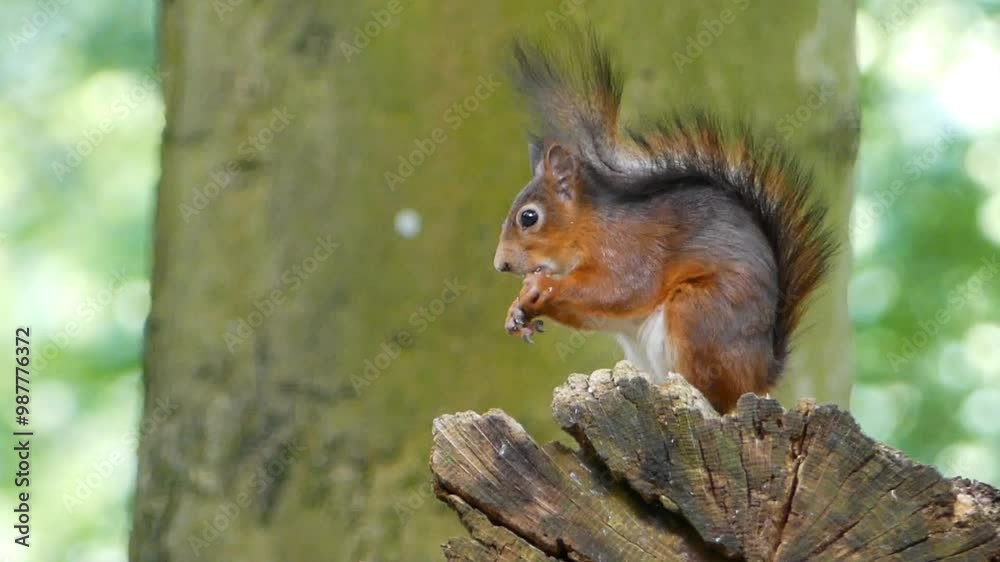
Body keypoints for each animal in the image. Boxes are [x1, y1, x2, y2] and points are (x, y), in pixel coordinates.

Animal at [492, 29, 835, 413]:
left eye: (529, 217)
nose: (501, 264)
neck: (588, 227)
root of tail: (760, 374)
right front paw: (516, 312)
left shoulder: (629, 249)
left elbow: (619, 288)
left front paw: (540, 287)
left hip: (698, 314)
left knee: (718, 398)